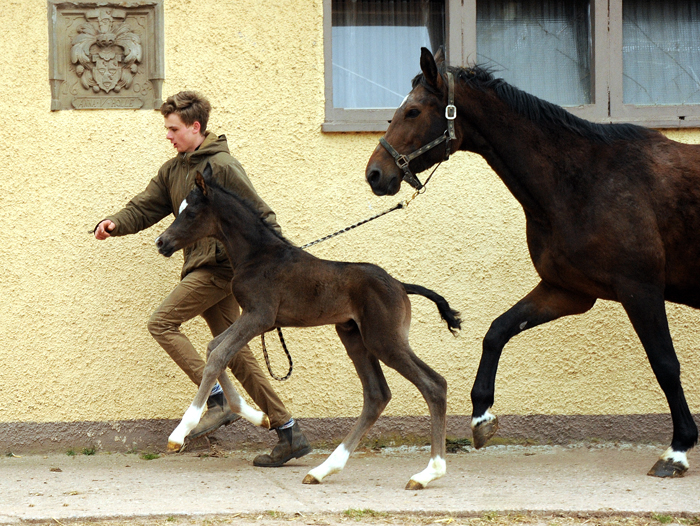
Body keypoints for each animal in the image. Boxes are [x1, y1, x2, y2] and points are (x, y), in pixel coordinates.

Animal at [154, 165, 462, 490]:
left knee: (433, 385)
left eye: (190, 213)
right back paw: (324, 469)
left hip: (385, 340)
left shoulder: (259, 316)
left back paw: (428, 473)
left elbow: (218, 355)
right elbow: (215, 348)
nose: (161, 242)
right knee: (377, 395)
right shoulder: (251, 317)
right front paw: (255, 416)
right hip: (354, 337)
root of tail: (401, 285)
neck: (258, 255)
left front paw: (179, 434)